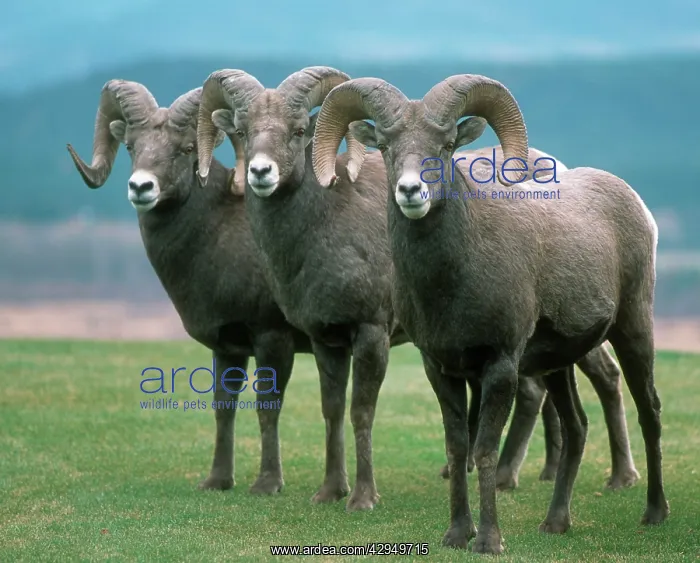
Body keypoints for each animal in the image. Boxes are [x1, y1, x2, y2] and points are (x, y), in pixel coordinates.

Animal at [66, 79, 314, 496]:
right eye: (131, 146)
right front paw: (217, 481)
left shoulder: (272, 339)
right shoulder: (228, 348)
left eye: (184, 149)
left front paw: (267, 485)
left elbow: (267, 407)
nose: (141, 187)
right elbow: (223, 408)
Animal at [311, 74, 668, 553]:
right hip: (558, 365)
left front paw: (489, 540)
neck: (451, 282)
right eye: (385, 146)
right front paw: (456, 534)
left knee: (649, 411)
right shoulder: (440, 368)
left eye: (445, 146)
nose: (411, 191)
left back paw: (655, 513)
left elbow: (484, 450)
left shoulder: (499, 367)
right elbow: (457, 448)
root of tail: (635, 204)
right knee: (576, 427)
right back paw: (555, 523)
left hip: (633, 331)